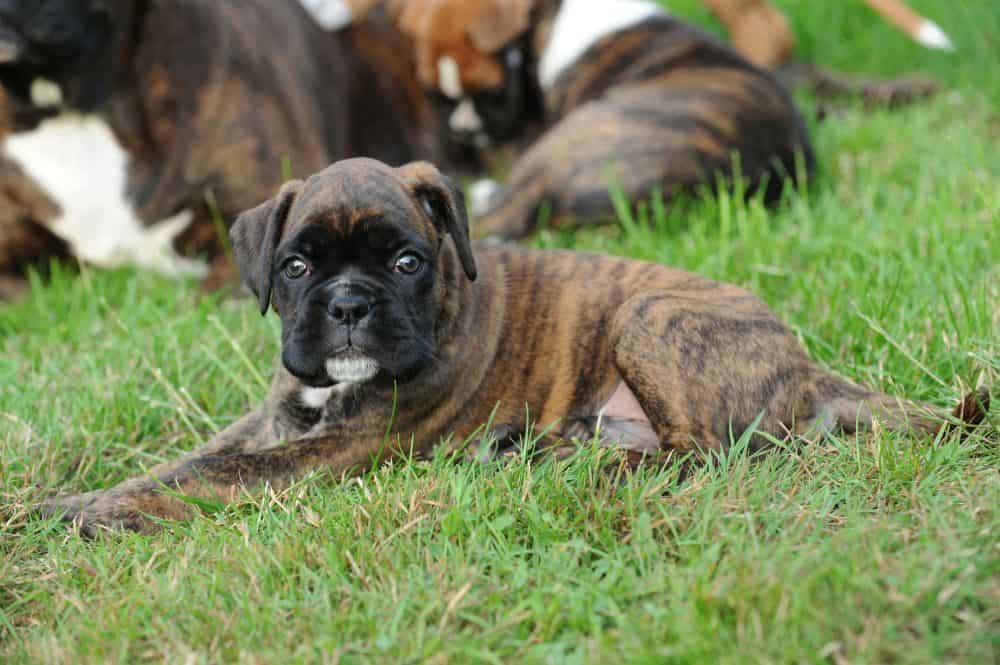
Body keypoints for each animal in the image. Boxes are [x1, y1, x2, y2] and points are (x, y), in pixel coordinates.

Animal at [43, 157, 988, 536]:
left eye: (406, 261)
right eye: (297, 265)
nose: (347, 305)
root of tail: (803, 363)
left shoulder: (334, 448)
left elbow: (212, 474)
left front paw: (95, 514)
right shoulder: (279, 414)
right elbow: (186, 458)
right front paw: (77, 498)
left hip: (647, 316)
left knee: (706, 453)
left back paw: (578, 468)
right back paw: (531, 449)